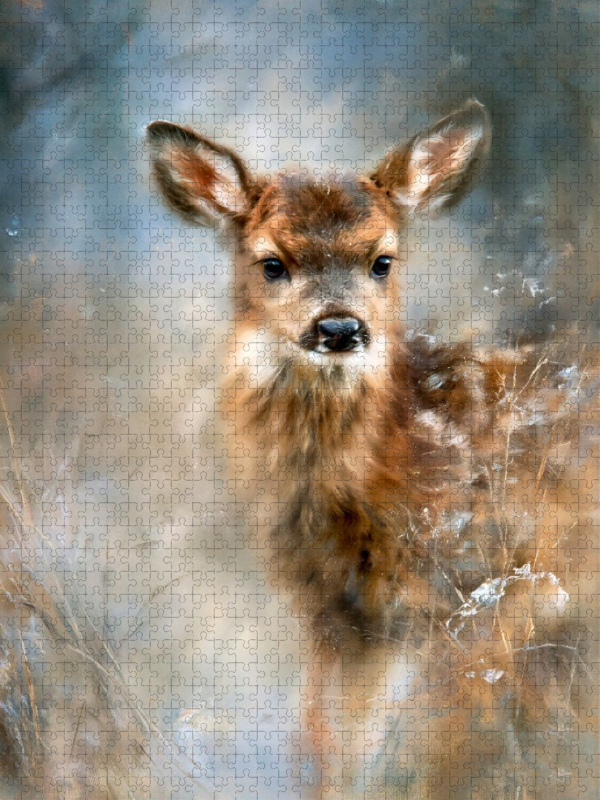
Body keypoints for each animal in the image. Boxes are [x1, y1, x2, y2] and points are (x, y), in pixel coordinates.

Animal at [147, 102, 599, 799]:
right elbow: (327, 743)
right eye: (272, 262)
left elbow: (438, 751)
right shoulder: (341, 615)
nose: (339, 327)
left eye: (382, 261)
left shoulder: (477, 594)